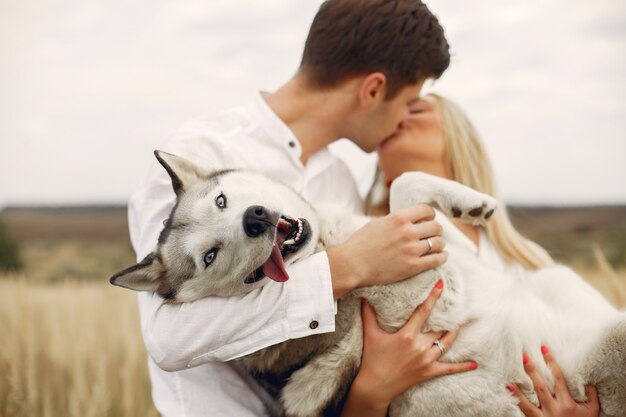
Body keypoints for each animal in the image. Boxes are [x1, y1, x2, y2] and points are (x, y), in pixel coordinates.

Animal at [112, 150, 624, 416]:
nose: (254, 219)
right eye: (209, 256)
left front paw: (468, 203)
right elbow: (402, 204)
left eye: (220, 201)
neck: (329, 245)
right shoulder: (435, 288)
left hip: (558, 280)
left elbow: (407, 186)